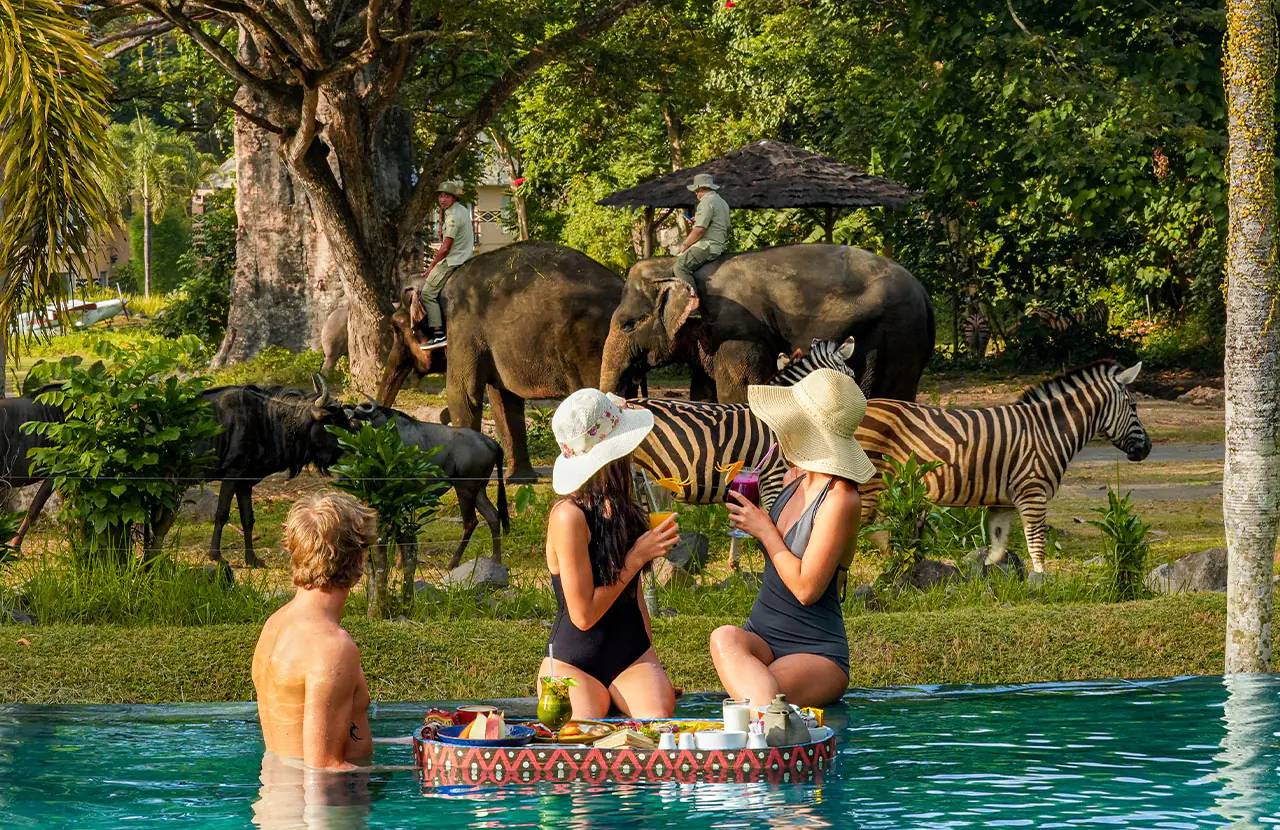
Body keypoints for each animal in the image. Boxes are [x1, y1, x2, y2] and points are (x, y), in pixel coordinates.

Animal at [377, 241, 624, 482]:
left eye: (396, 327)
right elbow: (503, 400)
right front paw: (520, 480)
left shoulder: (463, 328)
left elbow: (462, 394)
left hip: (589, 346)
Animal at [599, 244, 935, 403]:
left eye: (628, 324)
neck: (675, 266)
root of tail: (924, 293)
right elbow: (704, 393)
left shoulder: (738, 332)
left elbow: (739, 391)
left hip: (899, 337)